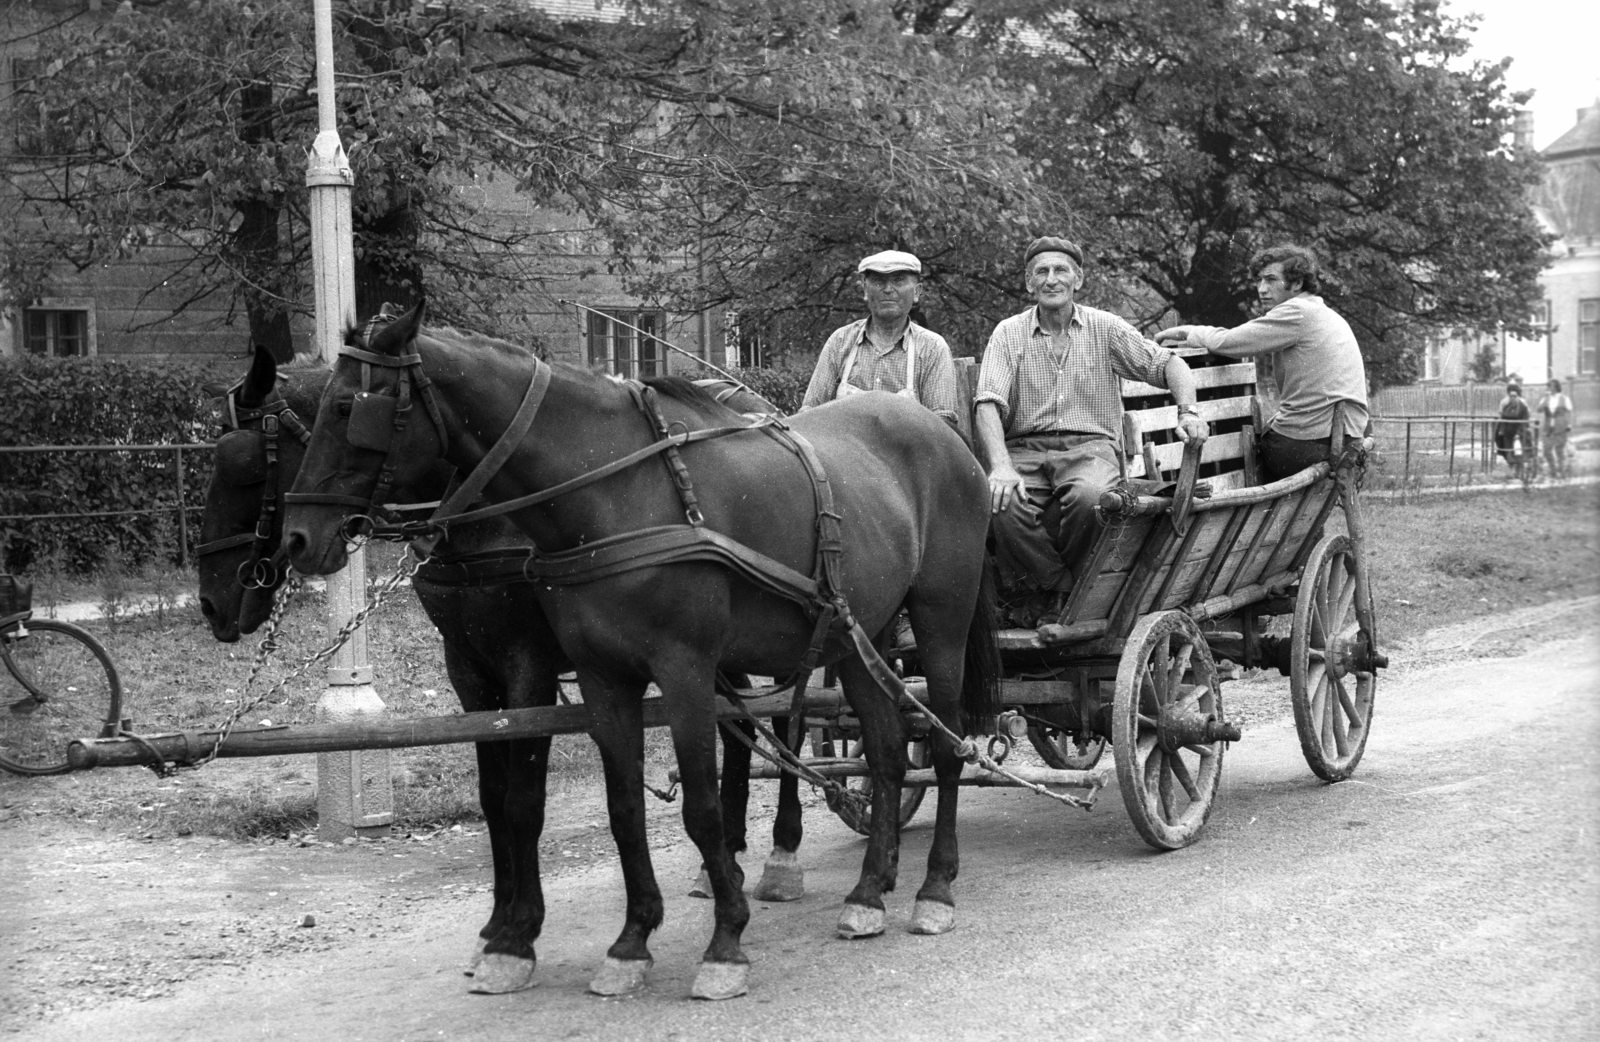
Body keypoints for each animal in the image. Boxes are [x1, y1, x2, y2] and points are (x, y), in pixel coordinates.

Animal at [195, 342, 813, 995]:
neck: (488, 515)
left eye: (243, 465)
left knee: (789, 720)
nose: (210, 601)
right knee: (739, 723)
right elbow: (493, 799)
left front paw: (520, 933)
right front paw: (496, 925)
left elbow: (524, 800)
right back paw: (725, 856)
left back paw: (781, 852)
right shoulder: (470, 671)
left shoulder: (528, 669)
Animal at [281, 301, 999, 1000]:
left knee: (942, 745)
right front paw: (628, 941)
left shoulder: (673, 672)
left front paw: (724, 943)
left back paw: (932, 888)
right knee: (885, 751)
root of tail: (947, 439)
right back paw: (869, 892)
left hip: (938, 622)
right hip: (857, 637)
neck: (615, 491)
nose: (297, 538)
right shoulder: (595, 679)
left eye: (346, 408)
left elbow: (695, 809)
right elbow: (621, 808)